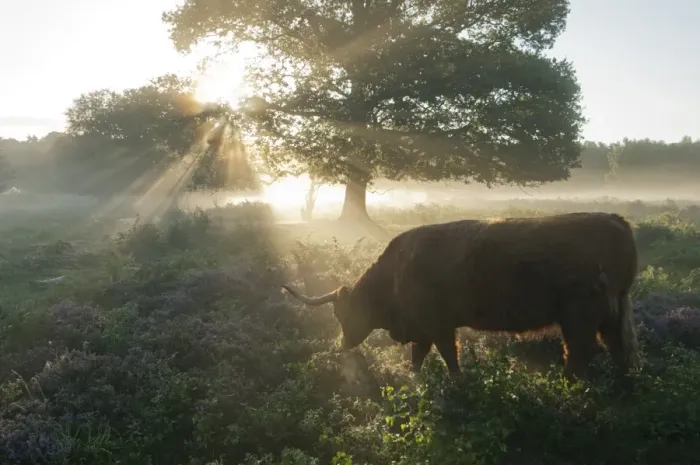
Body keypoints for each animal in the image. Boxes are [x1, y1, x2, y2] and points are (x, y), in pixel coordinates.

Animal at [281, 212, 641, 384]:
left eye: (340, 314)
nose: (342, 346)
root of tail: (616, 220)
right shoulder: (422, 329)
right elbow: (417, 359)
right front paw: (414, 382)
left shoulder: (438, 325)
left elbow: (448, 357)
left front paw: (456, 385)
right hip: (612, 311)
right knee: (618, 348)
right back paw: (625, 387)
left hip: (580, 313)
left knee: (581, 351)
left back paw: (567, 388)